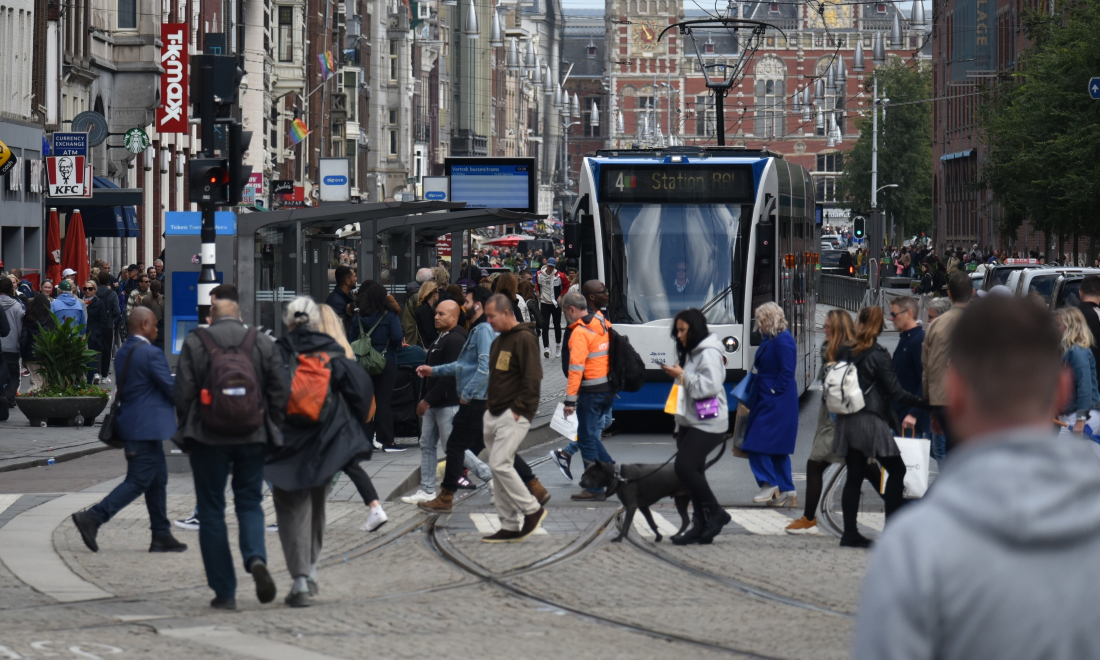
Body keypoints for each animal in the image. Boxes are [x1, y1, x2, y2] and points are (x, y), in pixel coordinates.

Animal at [580, 444, 726, 541]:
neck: (619, 476)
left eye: (592, 475)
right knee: (685, 520)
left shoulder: (631, 506)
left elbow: (626, 524)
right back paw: (677, 535)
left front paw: (620, 538)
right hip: (681, 500)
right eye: (584, 473)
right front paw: (659, 536)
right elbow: (651, 522)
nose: (581, 483)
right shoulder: (643, 507)